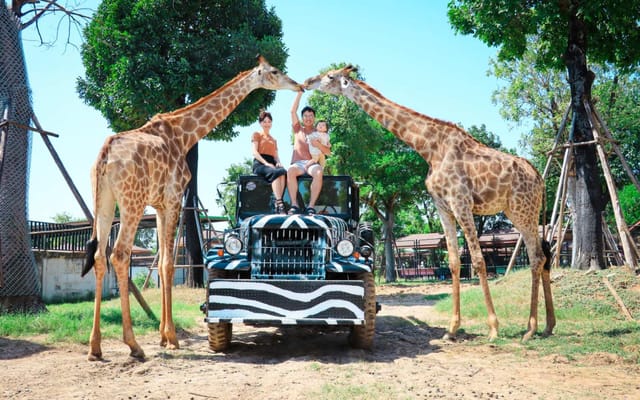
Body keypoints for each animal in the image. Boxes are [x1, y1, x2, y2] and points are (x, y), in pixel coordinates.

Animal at [83, 55, 302, 360]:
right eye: (274, 71)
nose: (298, 85)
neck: (184, 134)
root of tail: (105, 156)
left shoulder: (161, 205)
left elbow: (163, 261)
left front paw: (164, 336)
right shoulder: (173, 198)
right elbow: (168, 264)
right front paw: (172, 337)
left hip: (104, 201)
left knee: (99, 257)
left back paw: (95, 347)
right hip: (131, 202)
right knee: (120, 254)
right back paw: (133, 345)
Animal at [306, 64, 556, 342]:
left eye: (330, 76)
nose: (307, 81)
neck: (429, 148)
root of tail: (539, 178)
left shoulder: (461, 201)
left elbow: (478, 260)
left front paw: (493, 328)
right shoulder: (443, 205)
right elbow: (455, 262)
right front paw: (451, 329)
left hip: (524, 210)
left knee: (536, 256)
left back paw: (530, 329)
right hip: (518, 211)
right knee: (543, 254)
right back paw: (546, 326)